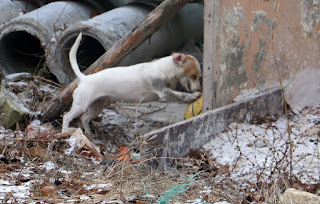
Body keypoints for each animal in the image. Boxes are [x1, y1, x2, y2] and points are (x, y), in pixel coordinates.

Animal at [62, 32, 201, 136]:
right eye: (193, 75)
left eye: (198, 76)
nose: (200, 88)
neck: (163, 69)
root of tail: (84, 78)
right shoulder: (163, 92)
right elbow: (180, 95)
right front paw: (192, 96)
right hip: (81, 106)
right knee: (67, 117)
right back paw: (64, 132)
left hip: (97, 107)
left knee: (84, 118)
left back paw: (89, 134)